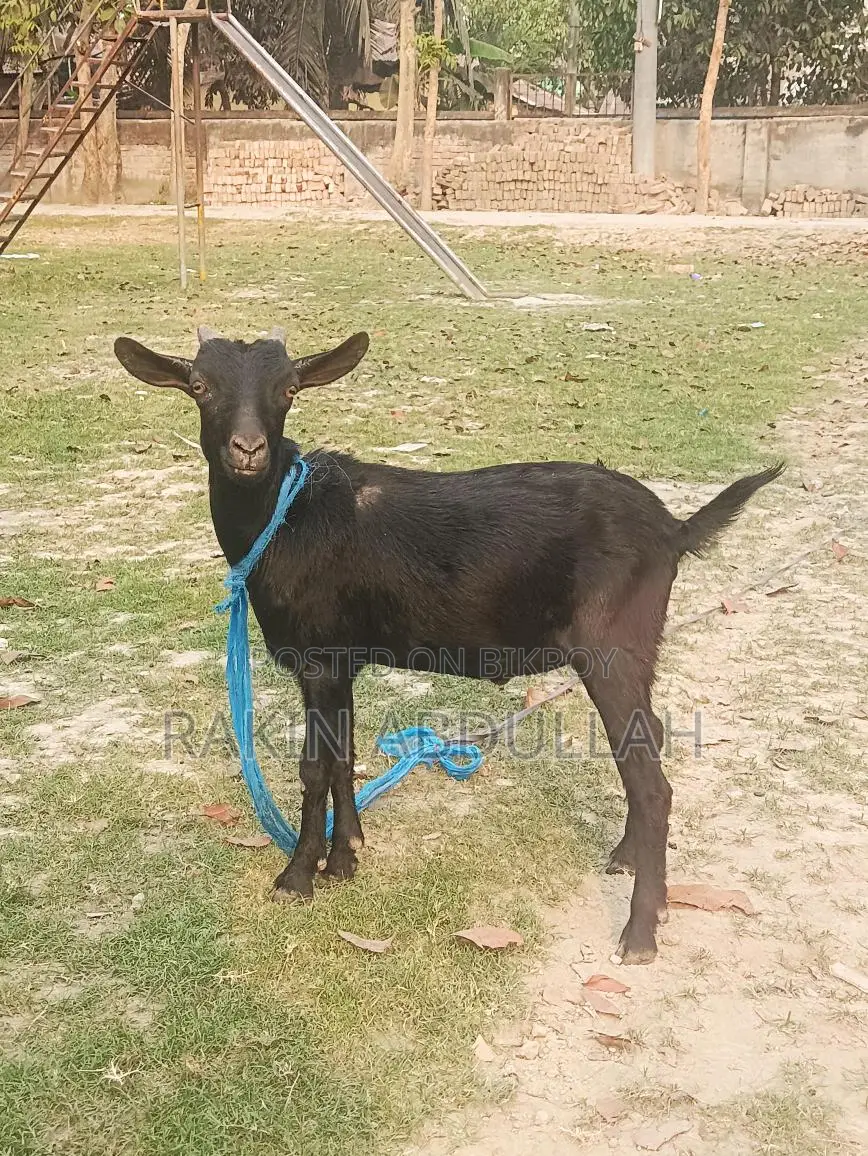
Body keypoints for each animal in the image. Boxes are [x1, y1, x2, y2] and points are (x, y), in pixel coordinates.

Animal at [114, 326, 783, 964]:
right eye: (199, 387)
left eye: (289, 390)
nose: (248, 451)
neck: (286, 520)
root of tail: (674, 529)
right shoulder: (342, 663)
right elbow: (343, 756)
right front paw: (348, 854)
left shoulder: (319, 657)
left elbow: (314, 766)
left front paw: (298, 876)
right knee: (650, 744)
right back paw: (630, 863)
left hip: (613, 644)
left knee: (650, 780)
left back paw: (641, 932)